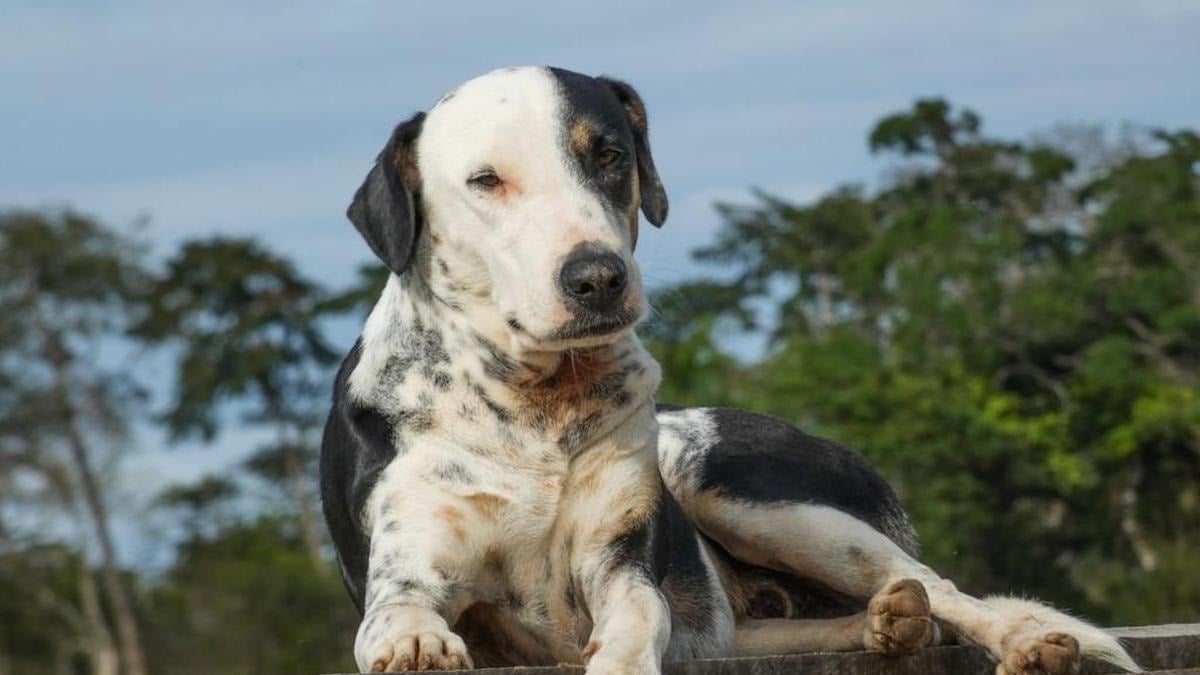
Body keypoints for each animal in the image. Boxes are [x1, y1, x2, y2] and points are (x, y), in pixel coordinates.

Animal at [316, 66, 1132, 672]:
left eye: (608, 154)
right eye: (486, 181)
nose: (598, 278)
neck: (537, 402)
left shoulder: (620, 567)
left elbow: (638, 620)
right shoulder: (411, 568)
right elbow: (400, 613)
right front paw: (417, 641)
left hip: (746, 496)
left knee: (944, 588)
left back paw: (1020, 637)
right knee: (842, 619)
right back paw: (886, 623)